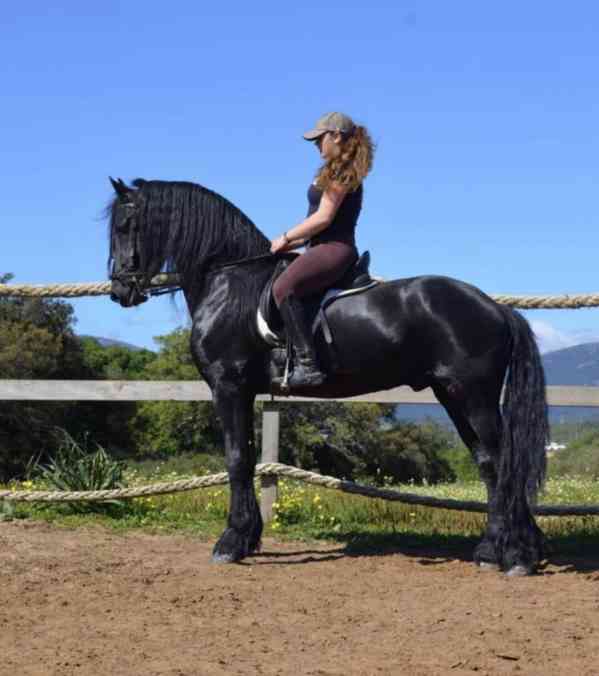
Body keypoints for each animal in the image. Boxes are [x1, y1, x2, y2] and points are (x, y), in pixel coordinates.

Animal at [108, 176, 548, 576]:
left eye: (125, 225)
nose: (119, 291)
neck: (230, 283)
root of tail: (495, 307)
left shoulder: (228, 386)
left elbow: (236, 459)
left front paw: (230, 543)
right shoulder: (244, 391)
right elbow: (245, 459)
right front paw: (248, 538)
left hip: (473, 396)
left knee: (505, 461)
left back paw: (519, 556)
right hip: (453, 394)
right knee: (490, 463)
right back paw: (495, 551)